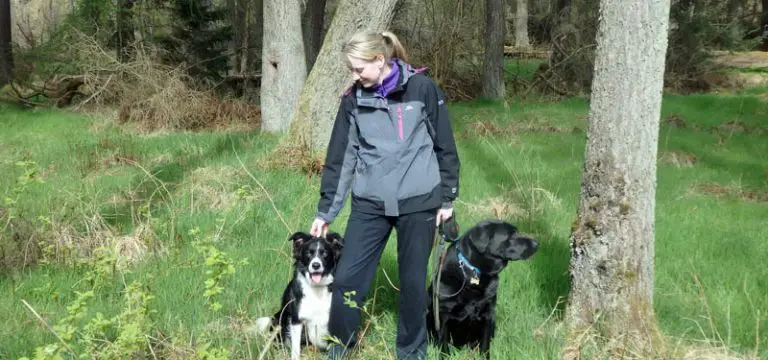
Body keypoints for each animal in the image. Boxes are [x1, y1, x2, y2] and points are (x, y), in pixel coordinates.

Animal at [256, 231, 344, 360]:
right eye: (308, 253)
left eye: (325, 253)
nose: (316, 265)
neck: (316, 287)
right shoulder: (296, 319)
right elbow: (296, 348)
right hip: (280, 319)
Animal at [426, 219, 540, 358]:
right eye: (512, 235)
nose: (536, 243)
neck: (472, 271)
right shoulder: (443, 314)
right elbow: (443, 343)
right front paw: (445, 357)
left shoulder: (489, 313)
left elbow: (485, 344)